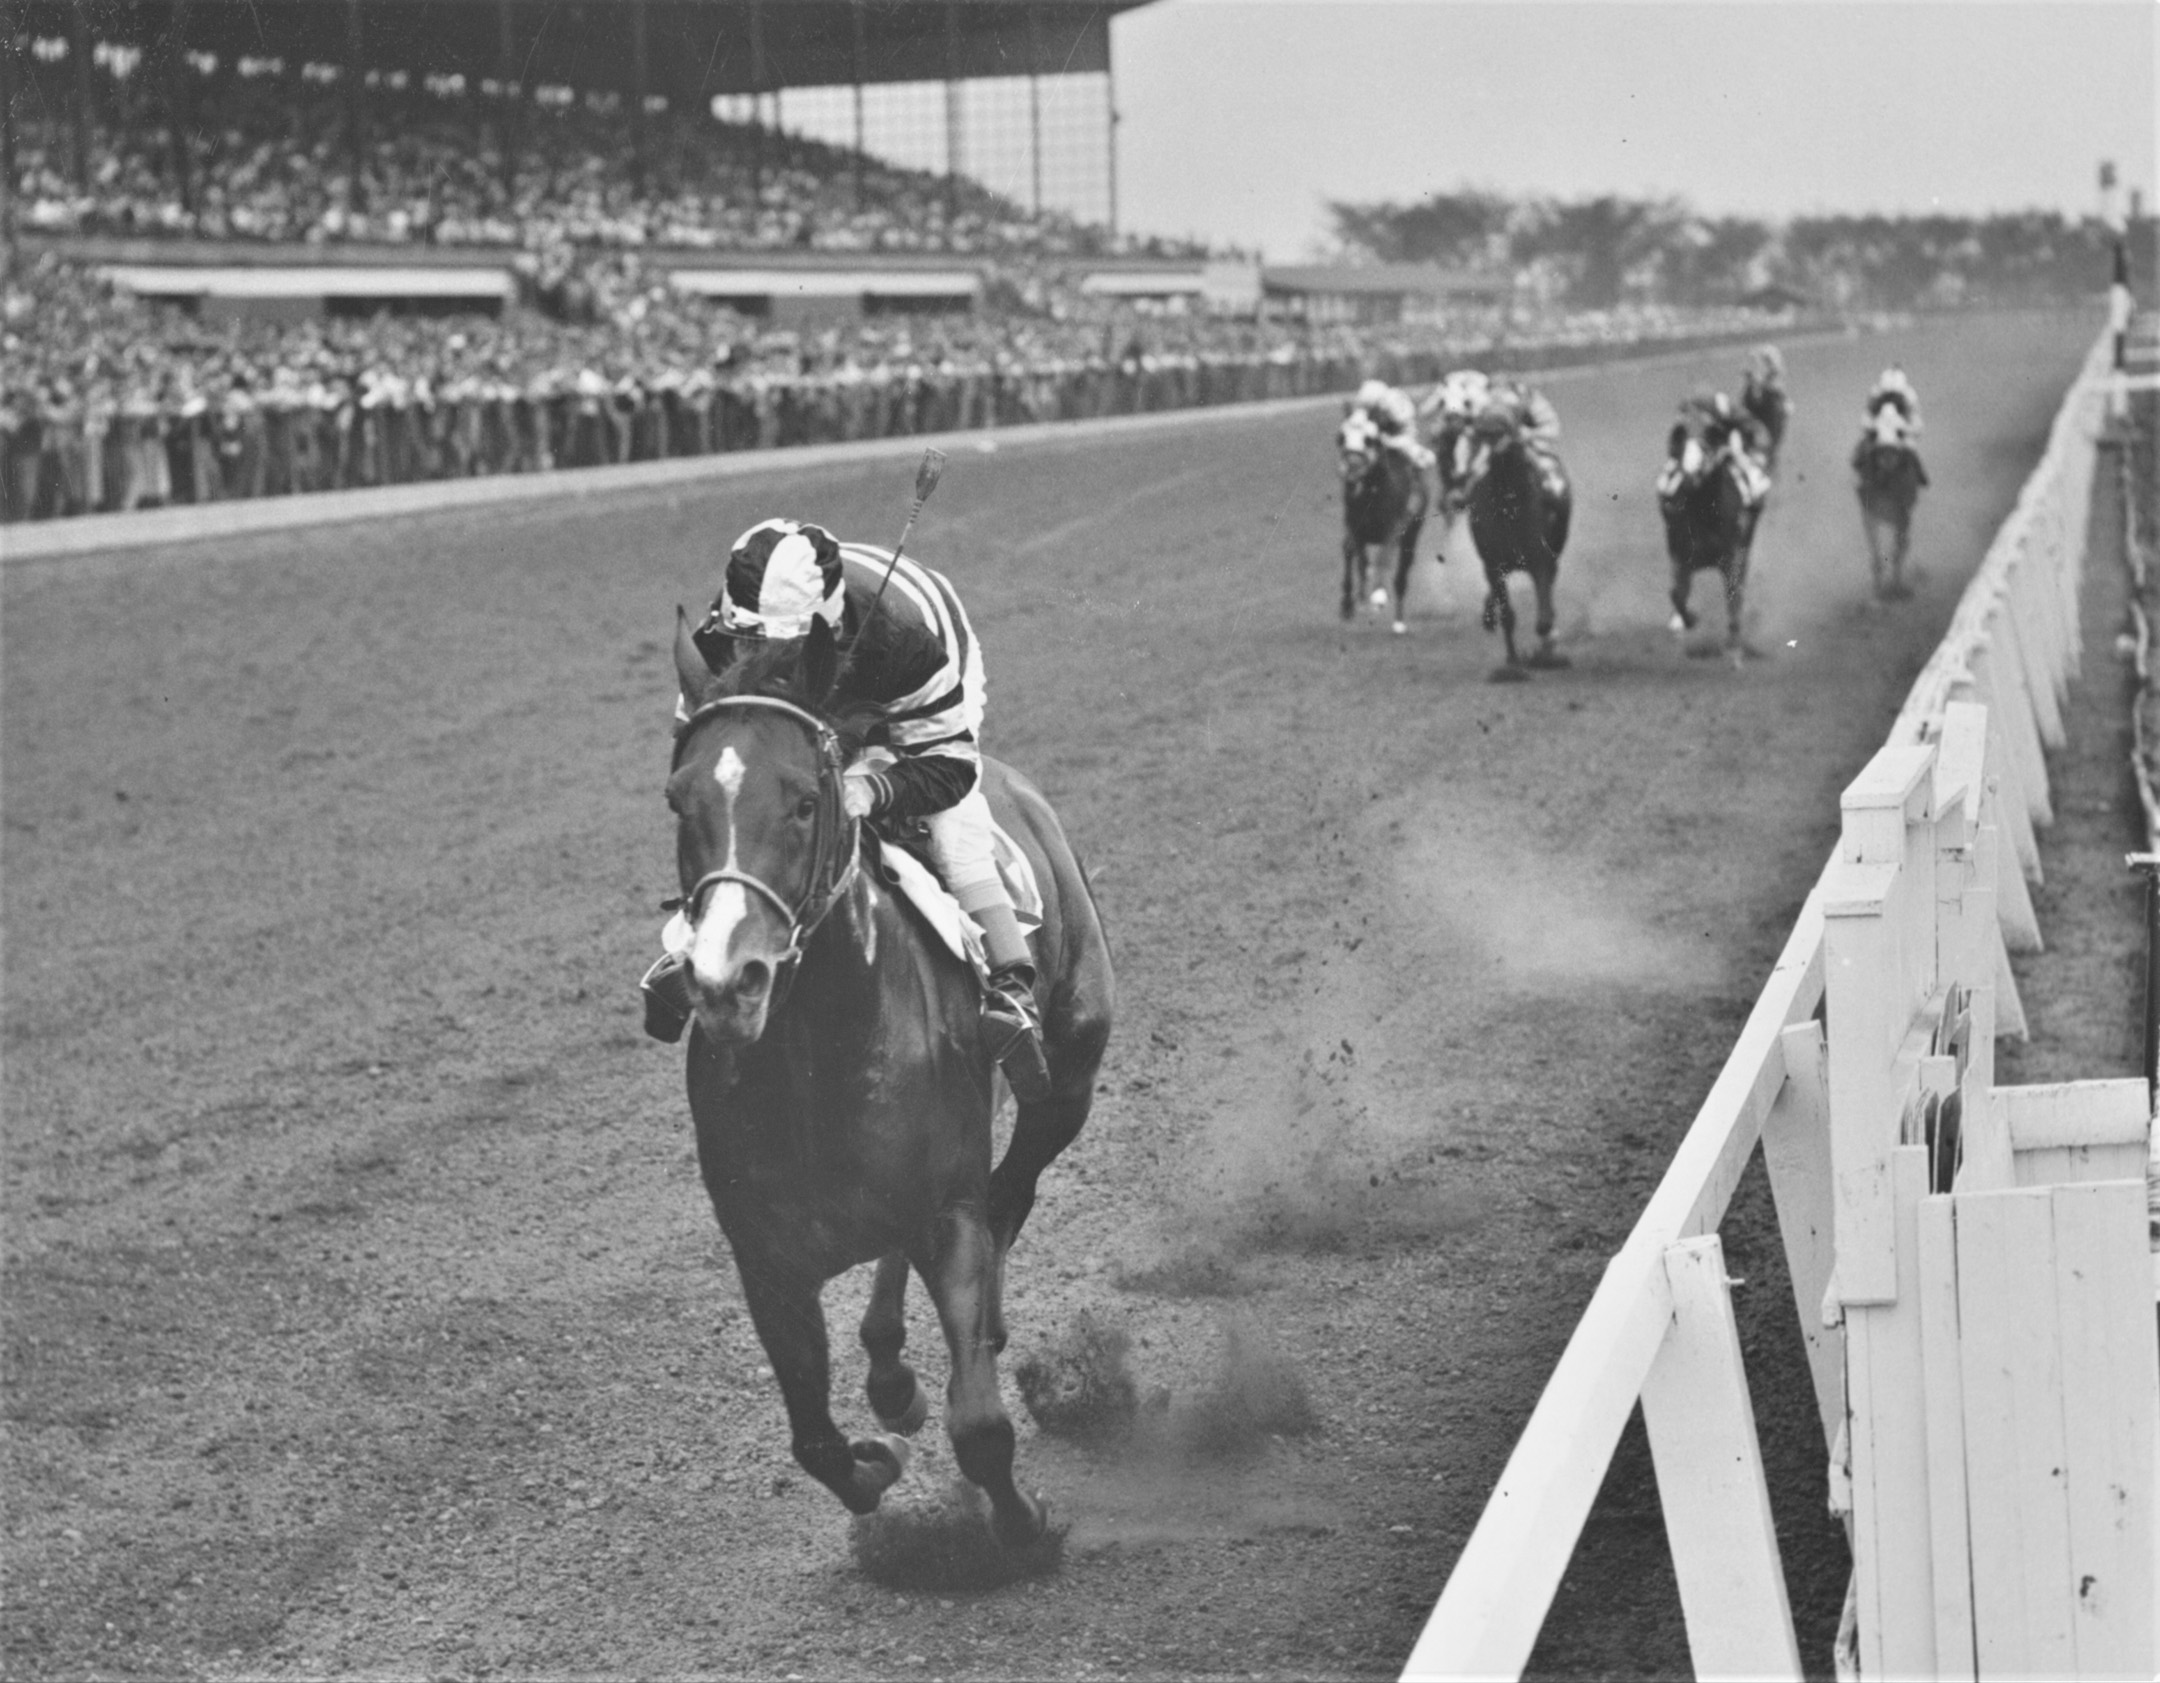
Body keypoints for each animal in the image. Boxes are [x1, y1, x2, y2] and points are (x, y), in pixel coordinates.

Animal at [665, 613, 1114, 1546]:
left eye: (805, 799)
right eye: (678, 800)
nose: (727, 982)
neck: (819, 1063)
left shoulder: (949, 1211)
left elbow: (980, 1423)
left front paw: (1027, 1526)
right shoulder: (765, 1261)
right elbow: (814, 1442)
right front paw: (878, 1458)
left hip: (1067, 1083)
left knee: (1008, 1194)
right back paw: (890, 1371)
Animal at [1330, 410, 1434, 635]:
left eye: (1370, 440)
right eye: (1341, 437)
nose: (1351, 477)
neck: (1371, 495)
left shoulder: (1394, 527)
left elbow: (1384, 556)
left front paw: (1378, 594)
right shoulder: (1354, 525)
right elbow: (1353, 553)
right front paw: (1349, 604)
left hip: (1411, 536)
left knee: (1401, 575)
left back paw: (1398, 622)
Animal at [1460, 408, 1581, 678]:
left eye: (1511, 418)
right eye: (1482, 422)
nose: (1491, 429)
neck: (1507, 507)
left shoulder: (1540, 560)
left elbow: (1545, 618)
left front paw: (1545, 654)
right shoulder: (1493, 564)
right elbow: (1508, 616)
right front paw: (1513, 663)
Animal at [1658, 416, 1762, 669]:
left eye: (1706, 448)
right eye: (1681, 450)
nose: (1689, 477)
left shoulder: (1733, 556)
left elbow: (1734, 600)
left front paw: (1734, 653)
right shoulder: (1680, 556)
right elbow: (1676, 594)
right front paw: (1686, 621)